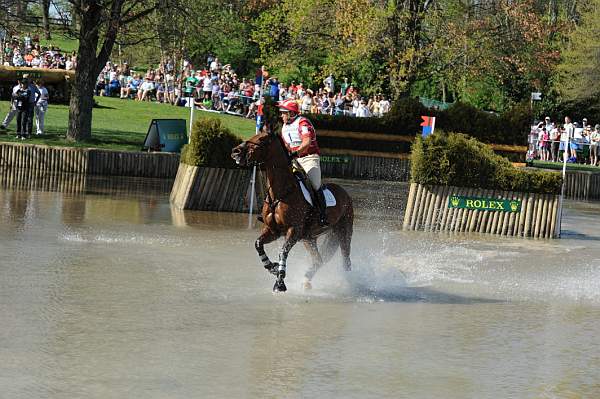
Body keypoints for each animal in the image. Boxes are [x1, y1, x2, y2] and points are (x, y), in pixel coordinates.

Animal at [230, 133, 352, 292]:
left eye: (262, 139)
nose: (235, 152)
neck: (280, 193)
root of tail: (346, 194)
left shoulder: (293, 231)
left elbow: (283, 252)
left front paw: (280, 283)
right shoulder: (273, 231)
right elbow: (258, 244)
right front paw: (273, 268)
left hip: (344, 232)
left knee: (346, 261)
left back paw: (348, 284)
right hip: (309, 238)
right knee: (318, 260)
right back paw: (306, 280)